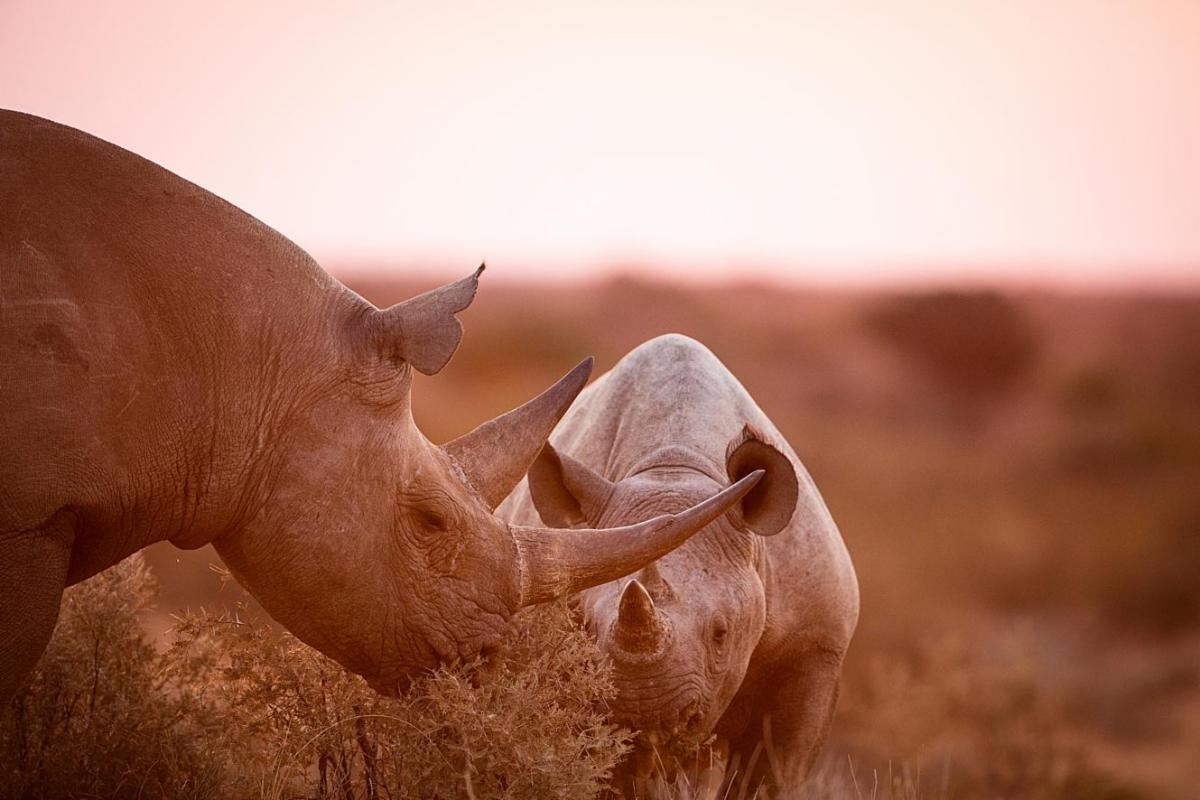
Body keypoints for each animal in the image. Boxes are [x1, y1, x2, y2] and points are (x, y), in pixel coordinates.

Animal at [500, 334, 860, 797]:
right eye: (587, 628)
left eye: (721, 633)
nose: (646, 711)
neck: (674, 469)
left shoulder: (817, 645)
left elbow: (773, 769)